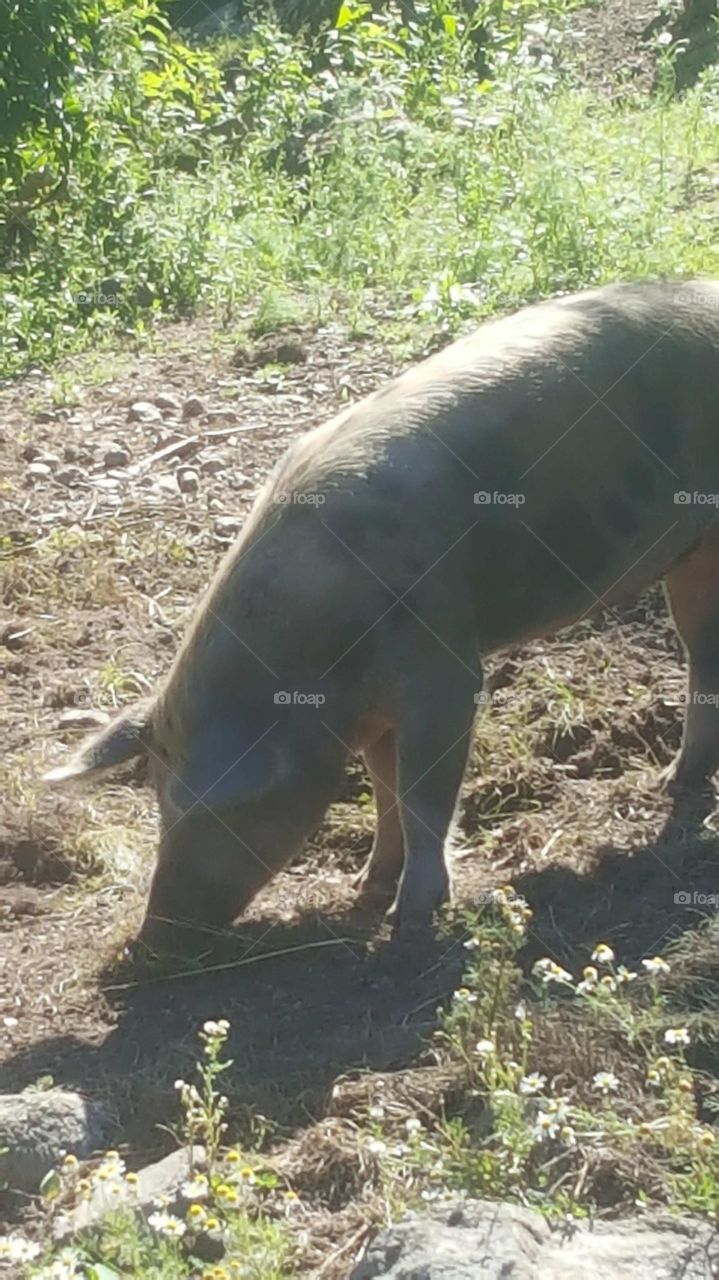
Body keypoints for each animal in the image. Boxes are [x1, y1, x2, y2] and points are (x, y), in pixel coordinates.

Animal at [45, 280, 719, 952]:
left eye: (227, 811)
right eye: (160, 799)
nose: (149, 941)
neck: (316, 670)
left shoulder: (445, 668)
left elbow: (422, 796)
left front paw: (409, 919)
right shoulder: (374, 713)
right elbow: (384, 790)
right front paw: (365, 890)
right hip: (689, 558)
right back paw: (672, 783)